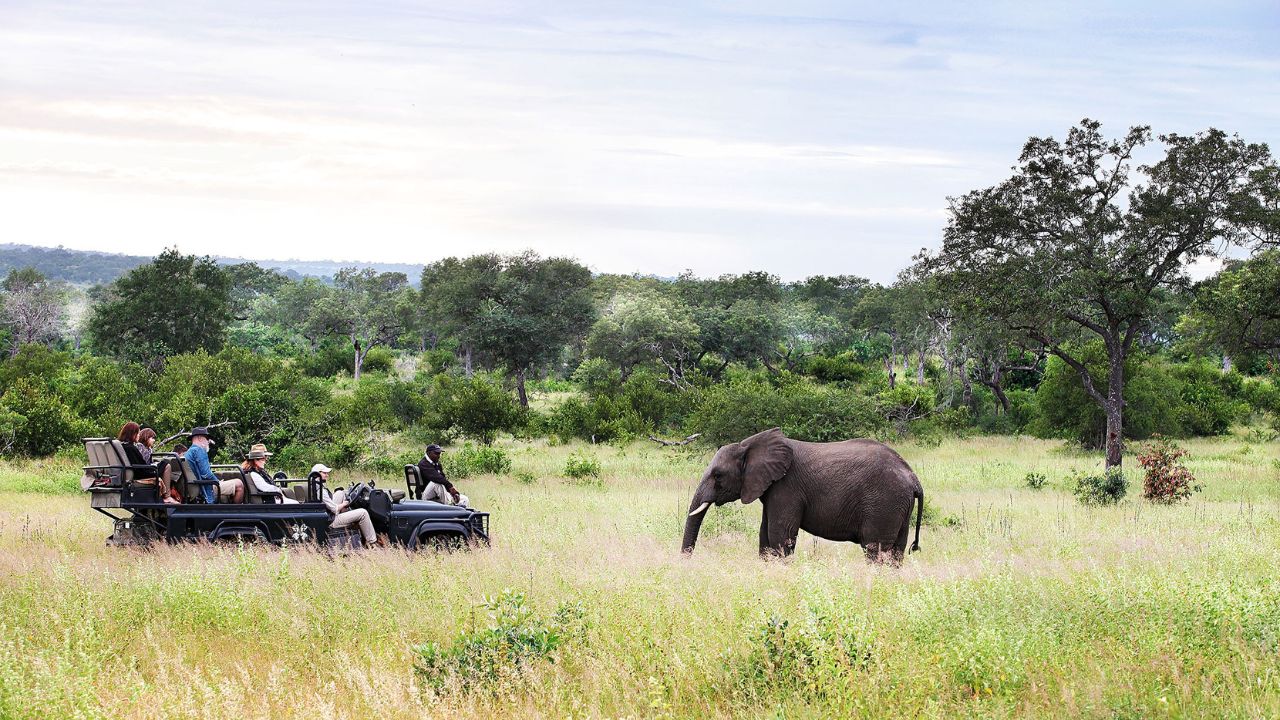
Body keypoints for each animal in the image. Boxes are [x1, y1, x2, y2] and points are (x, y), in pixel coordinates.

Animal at [681, 428, 924, 564]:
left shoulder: (787, 488)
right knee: (896, 551)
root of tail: (913, 478)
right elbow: (765, 536)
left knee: (876, 550)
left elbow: (780, 536)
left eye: (718, 475)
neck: (748, 445)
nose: (686, 563)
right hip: (898, 506)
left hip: (884, 503)